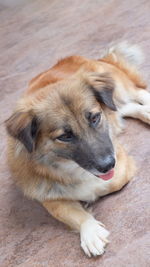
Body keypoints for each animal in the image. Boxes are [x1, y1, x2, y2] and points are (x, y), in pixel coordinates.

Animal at [5, 42, 149, 258]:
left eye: (95, 118)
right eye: (65, 136)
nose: (108, 165)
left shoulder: (120, 167)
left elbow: (104, 186)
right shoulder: (47, 196)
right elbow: (68, 211)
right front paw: (90, 230)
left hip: (120, 87)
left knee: (138, 93)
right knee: (124, 109)